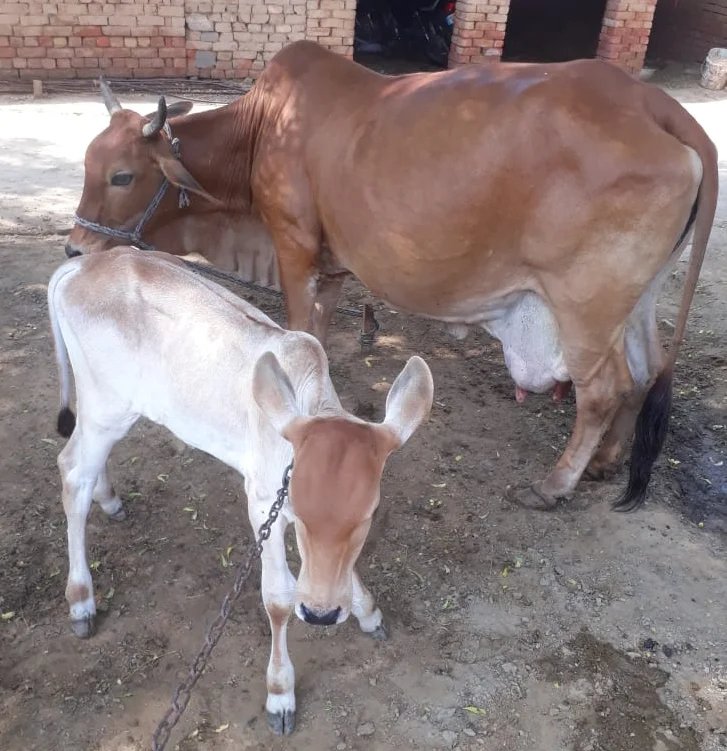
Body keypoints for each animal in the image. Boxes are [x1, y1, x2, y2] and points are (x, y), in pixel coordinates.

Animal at [47, 246, 434, 735]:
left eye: (368, 515)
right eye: (299, 512)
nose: (322, 615)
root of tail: (87, 263)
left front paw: (365, 611)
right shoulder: (263, 504)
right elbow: (279, 598)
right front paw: (280, 692)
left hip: (107, 413)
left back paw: (110, 499)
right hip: (106, 407)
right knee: (72, 471)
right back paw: (81, 599)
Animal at [66, 40, 718, 512]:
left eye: (123, 175)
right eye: (87, 164)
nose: (74, 247)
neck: (260, 129)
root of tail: (658, 106)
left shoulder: (292, 246)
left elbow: (298, 328)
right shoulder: (328, 263)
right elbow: (318, 335)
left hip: (585, 303)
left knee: (605, 389)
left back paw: (554, 485)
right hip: (633, 302)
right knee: (644, 374)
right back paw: (605, 464)